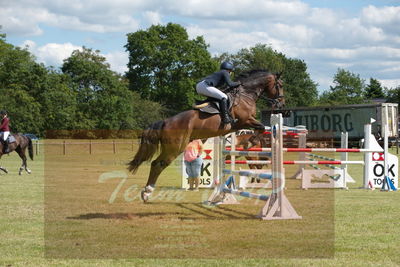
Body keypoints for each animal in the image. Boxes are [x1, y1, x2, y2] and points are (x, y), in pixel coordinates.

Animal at [128, 70, 284, 202]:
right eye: (280, 85)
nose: (281, 104)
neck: (246, 94)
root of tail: (166, 121)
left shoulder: (241, 124)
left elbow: (258, 129)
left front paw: (250, 141)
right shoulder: (245, 120)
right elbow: (261, 127)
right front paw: (251, 142)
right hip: (175, 148)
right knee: (158, 164)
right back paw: (147, 192)